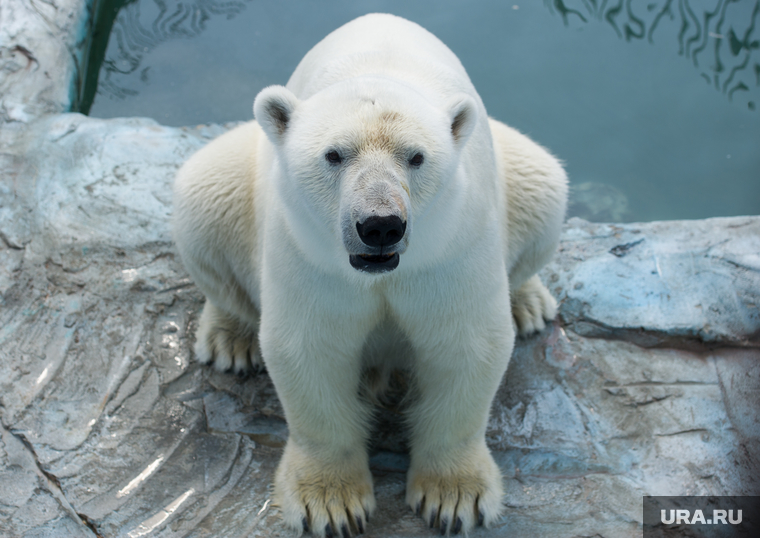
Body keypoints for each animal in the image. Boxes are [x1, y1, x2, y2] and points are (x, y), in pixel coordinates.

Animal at [172, 13, 564, 536]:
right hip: (234, 183)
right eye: (334, 154)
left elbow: (465, 343)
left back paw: (528, 304)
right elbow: (311, 347)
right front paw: (330, 504)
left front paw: (454, 498)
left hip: (520, 176)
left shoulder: (451, 245)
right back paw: (229, 341)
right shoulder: (311, 252)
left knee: (545, 185)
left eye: (416, 156)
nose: (380, 225)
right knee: (202, 194)